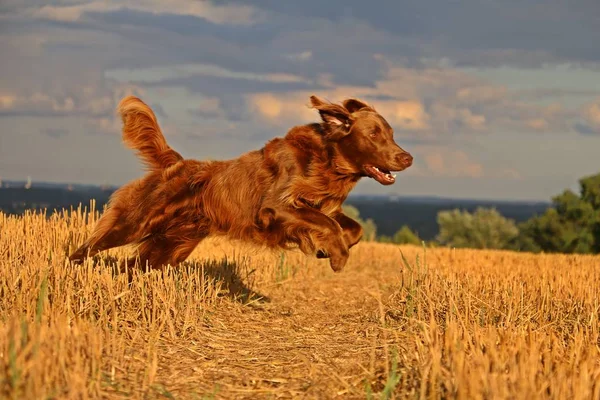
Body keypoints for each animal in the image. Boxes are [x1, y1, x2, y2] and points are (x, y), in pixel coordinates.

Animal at [68, 94, 410, 272]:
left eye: (392, 133)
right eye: (373, 135)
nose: (407, 158)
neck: (325, 160)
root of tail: (176, 163)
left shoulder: (323, 204)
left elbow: (352, 227)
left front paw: (328, 249)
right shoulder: (276, 206)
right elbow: (328, 224)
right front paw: (337, 255)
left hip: (174, 243)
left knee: (135, 265)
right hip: (137, 222)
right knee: (89, 247)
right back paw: (72, 269)